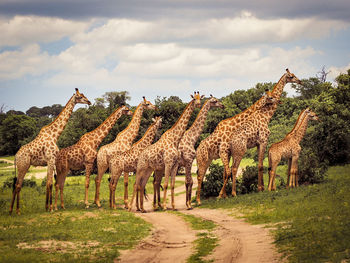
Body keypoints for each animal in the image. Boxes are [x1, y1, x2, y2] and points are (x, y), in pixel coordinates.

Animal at [196, 69, 302, 205]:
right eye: (291, 76)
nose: (300, 81)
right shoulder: (262, 141)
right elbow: (260, 165)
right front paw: (261, 188)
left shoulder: (252, 145)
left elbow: (258, 165)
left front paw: (261, 187)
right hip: (227, 153)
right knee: (224, 170)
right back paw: (221, 195)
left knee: (217, 171)